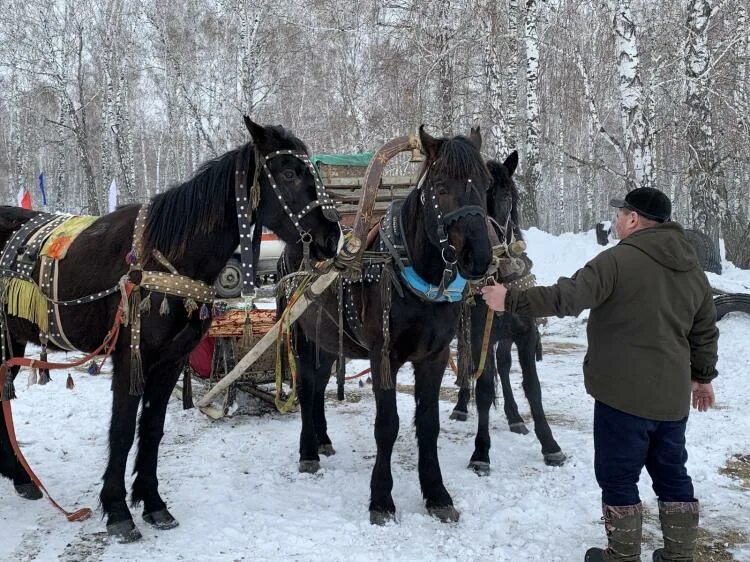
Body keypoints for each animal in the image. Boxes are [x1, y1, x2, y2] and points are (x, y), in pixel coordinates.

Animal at [0, 117, 340, 540]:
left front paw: (153, 503)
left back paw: (20, 477)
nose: (332, 237)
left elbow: (152, 428)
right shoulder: (131, 361)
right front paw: (118, 510)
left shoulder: (170, 362)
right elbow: (123, 430)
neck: (162, 255)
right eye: (291, 173)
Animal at [280, 124, 496, 524]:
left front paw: (437, 494)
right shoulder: (384, 355)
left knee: (318, 385)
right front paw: (381, 499)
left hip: (327, 340)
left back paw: (322, 440)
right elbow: (387, 425)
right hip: (301, 336)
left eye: (486, 184)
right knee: (305, 388)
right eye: (440, 186)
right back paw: (308, 452)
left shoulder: (434, 356)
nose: (479, 257)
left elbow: (428, 424)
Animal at [450, 151, 568, 470]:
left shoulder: (525, 335)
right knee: (467, 364)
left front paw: (550, 445)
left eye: (504, 197)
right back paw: (460, 406)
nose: (483, 256)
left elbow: (532, 387)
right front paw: (481, 453)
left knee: (501, 365)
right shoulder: (480, 334)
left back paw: (514, 416)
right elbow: (483, 388)